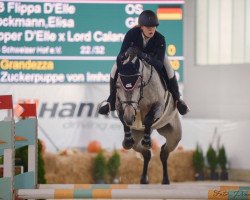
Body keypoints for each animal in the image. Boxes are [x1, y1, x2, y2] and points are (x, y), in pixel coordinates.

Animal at [115, 56, 182, 184]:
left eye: (138, 85)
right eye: (118, 86)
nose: (130, 117)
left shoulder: (159, 105)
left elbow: (148, 119)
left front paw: (147, 141)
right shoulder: (119, 105)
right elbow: (122, 118)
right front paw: (127, 141)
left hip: (174, 135)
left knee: (165, 151)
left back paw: (165, 179)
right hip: (137, 136)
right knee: (146, 153)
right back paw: (144, 178)